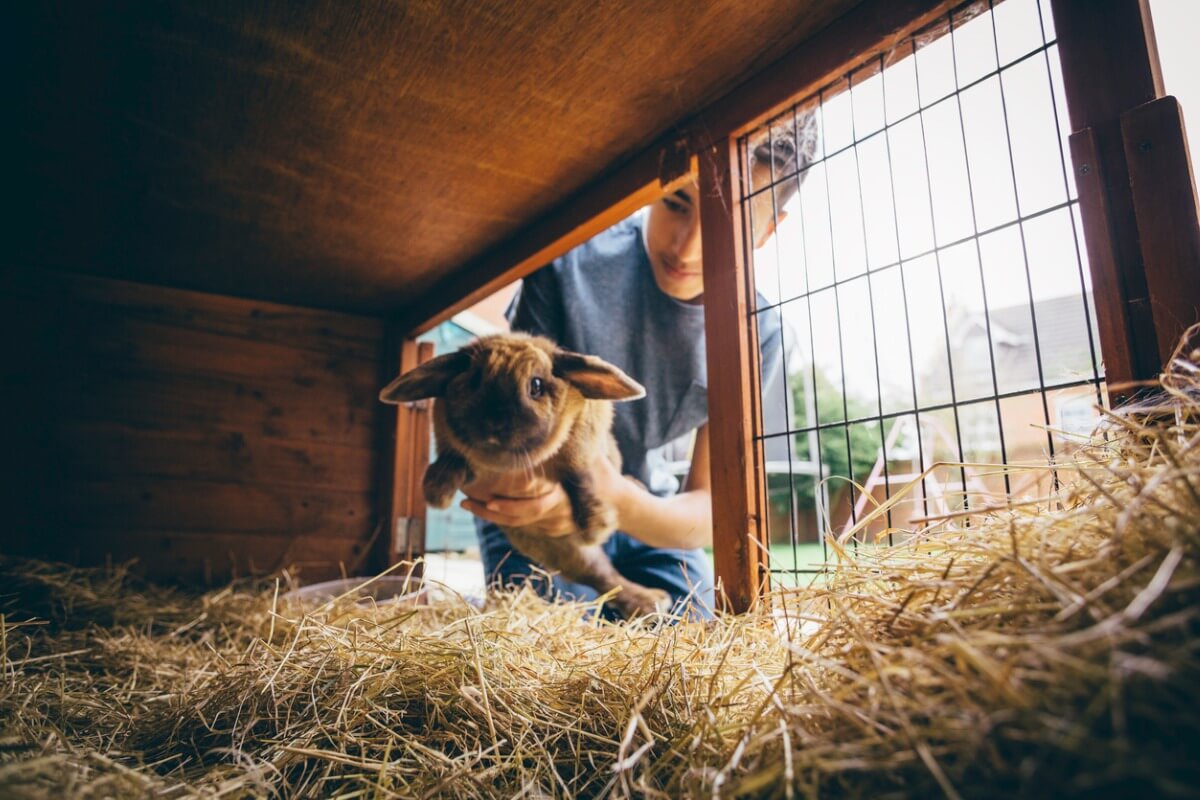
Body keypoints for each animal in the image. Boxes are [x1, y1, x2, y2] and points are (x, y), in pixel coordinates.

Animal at [379, 333, 673, 618]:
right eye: (473, 381)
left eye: (537, 385)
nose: (494, 423)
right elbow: (452, 458)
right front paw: (437, 490)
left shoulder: (583, 441)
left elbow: (579, 474)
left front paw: (595, 524)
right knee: (603, 577)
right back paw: (652, 603)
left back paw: (654, 599)